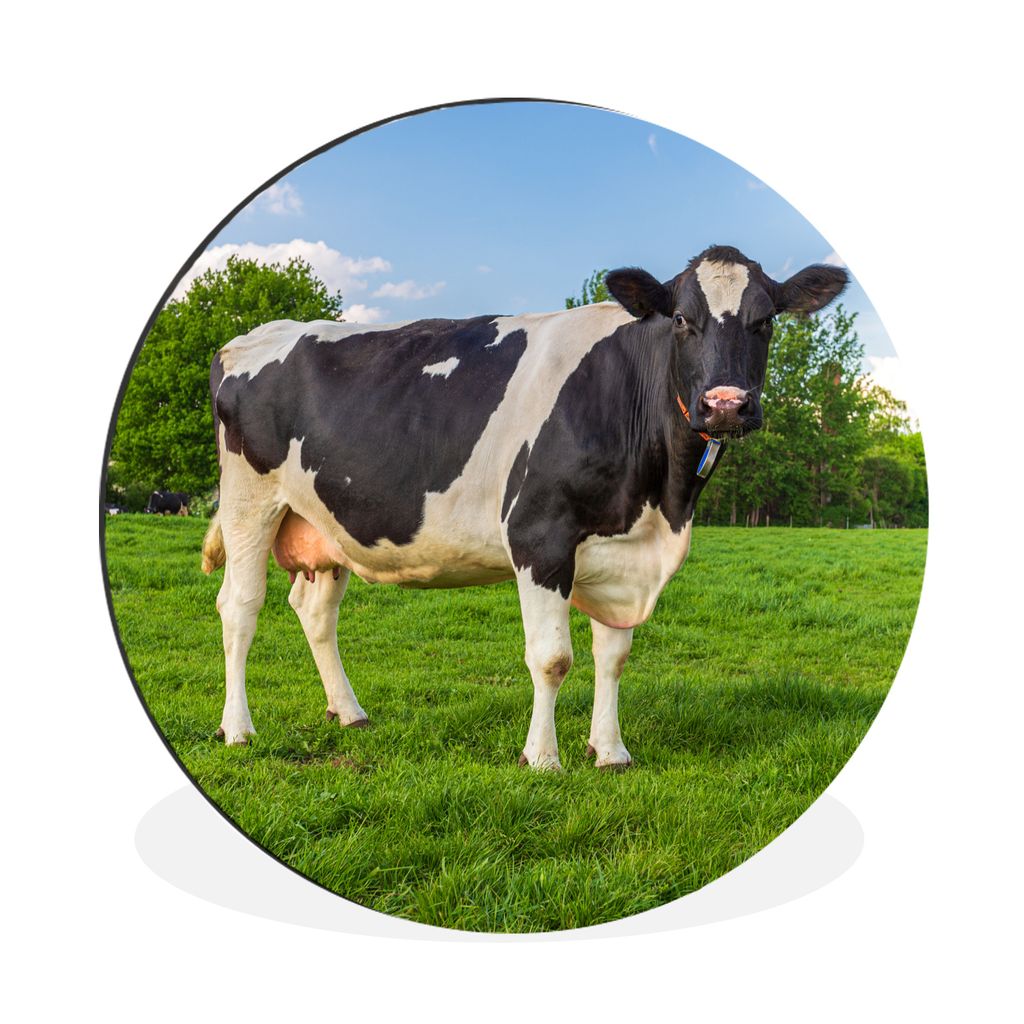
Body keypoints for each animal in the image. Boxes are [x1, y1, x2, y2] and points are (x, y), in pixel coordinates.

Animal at [201, 245, 848, 768]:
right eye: (683, 319)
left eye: (765, 321)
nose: (725, 405)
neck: (661, 502)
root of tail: (248, 337)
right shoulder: (541, 535)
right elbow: (553, 658)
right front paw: (541, 758)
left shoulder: (618, 550)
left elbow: (614, 655)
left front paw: (610, 752)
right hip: (250, 503)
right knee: (240, 606)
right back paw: (238, 729)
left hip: (327, 520)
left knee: (315, 610)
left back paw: (350, 711)